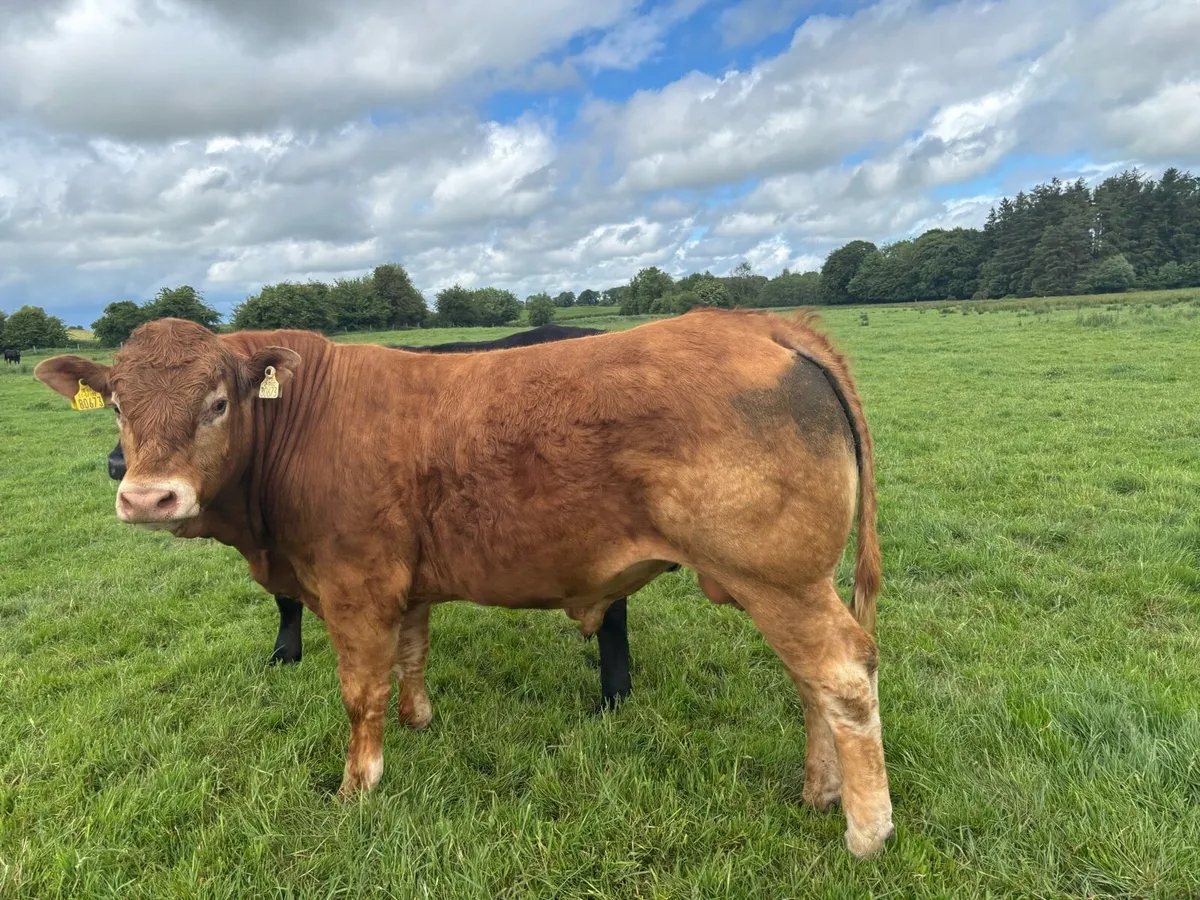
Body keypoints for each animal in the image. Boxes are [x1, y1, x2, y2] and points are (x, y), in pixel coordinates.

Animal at [104, 323, 654, 709]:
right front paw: (285, 655)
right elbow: (286, 601)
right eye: (115, 405)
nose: (118, 468)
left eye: (218, 404)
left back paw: (614, 696)